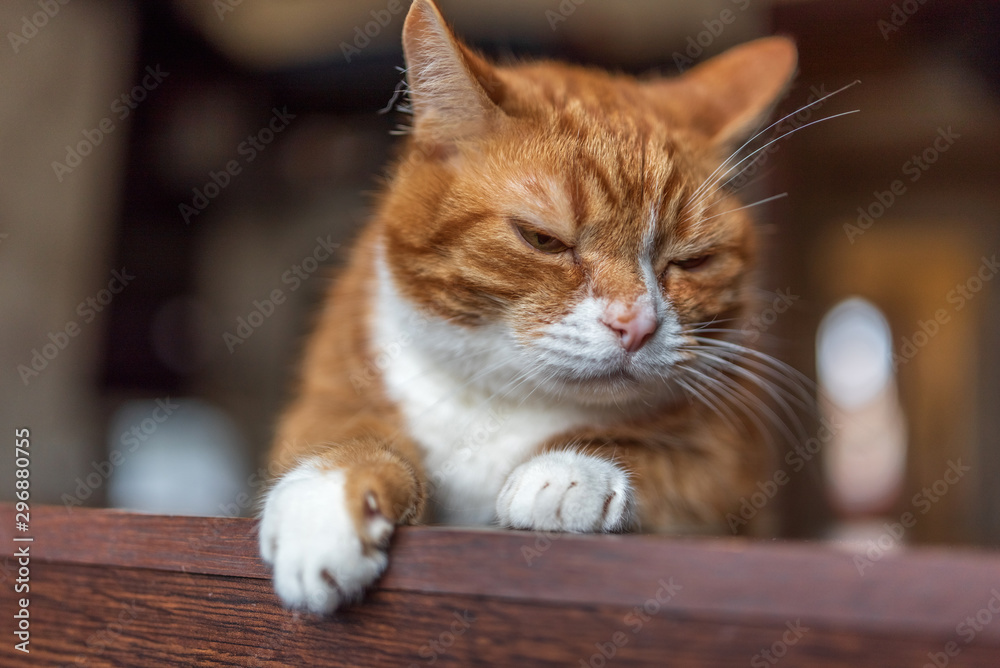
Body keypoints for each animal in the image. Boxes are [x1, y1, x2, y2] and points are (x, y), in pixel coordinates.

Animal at [258, 0, 796, 616]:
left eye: (694, 260)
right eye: (543, 240)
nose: (636, 325)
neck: (503, 402)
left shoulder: (731, 476)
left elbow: (665, 461)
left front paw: (568, 471)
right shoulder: (335, 390)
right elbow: (346, 438)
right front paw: (323, 511)